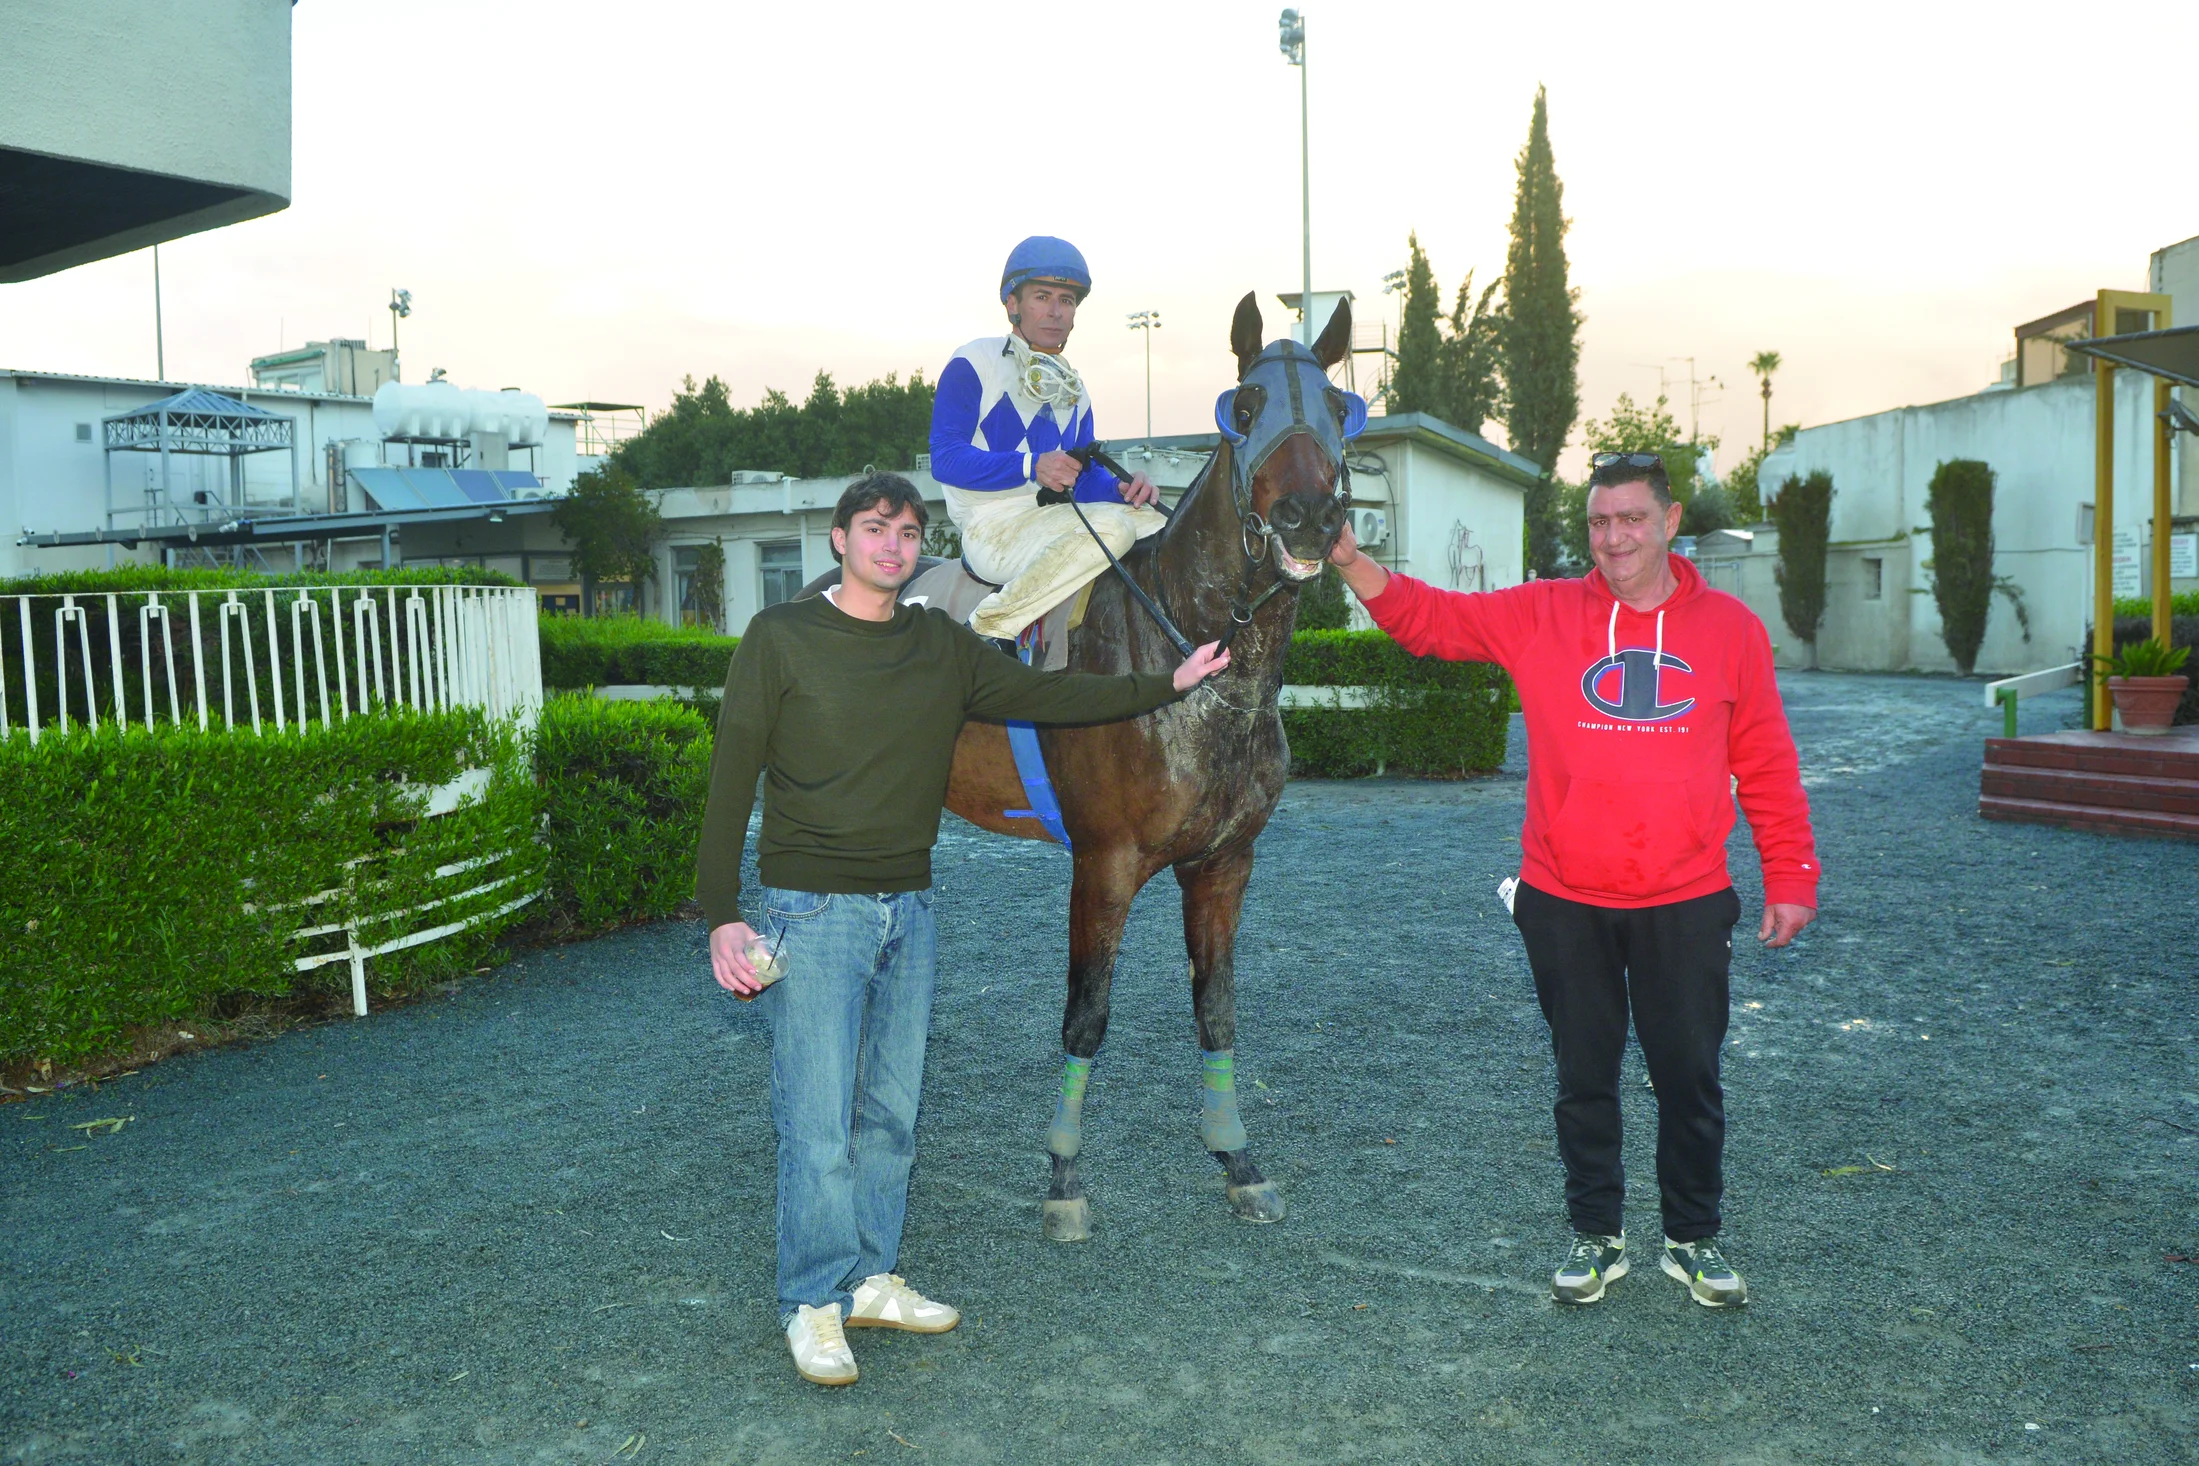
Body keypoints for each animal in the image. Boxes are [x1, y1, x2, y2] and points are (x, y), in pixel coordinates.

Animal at [937, 292, 1362, 1240]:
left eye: (1338, 408)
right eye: (1245, 405)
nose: (1309, 517)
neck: (1196, 664)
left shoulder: (1224, 863)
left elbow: (1216, 1007)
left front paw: (1237, 1159)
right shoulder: (1104, 864)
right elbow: (1086, 1018)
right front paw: (1064, 1179)